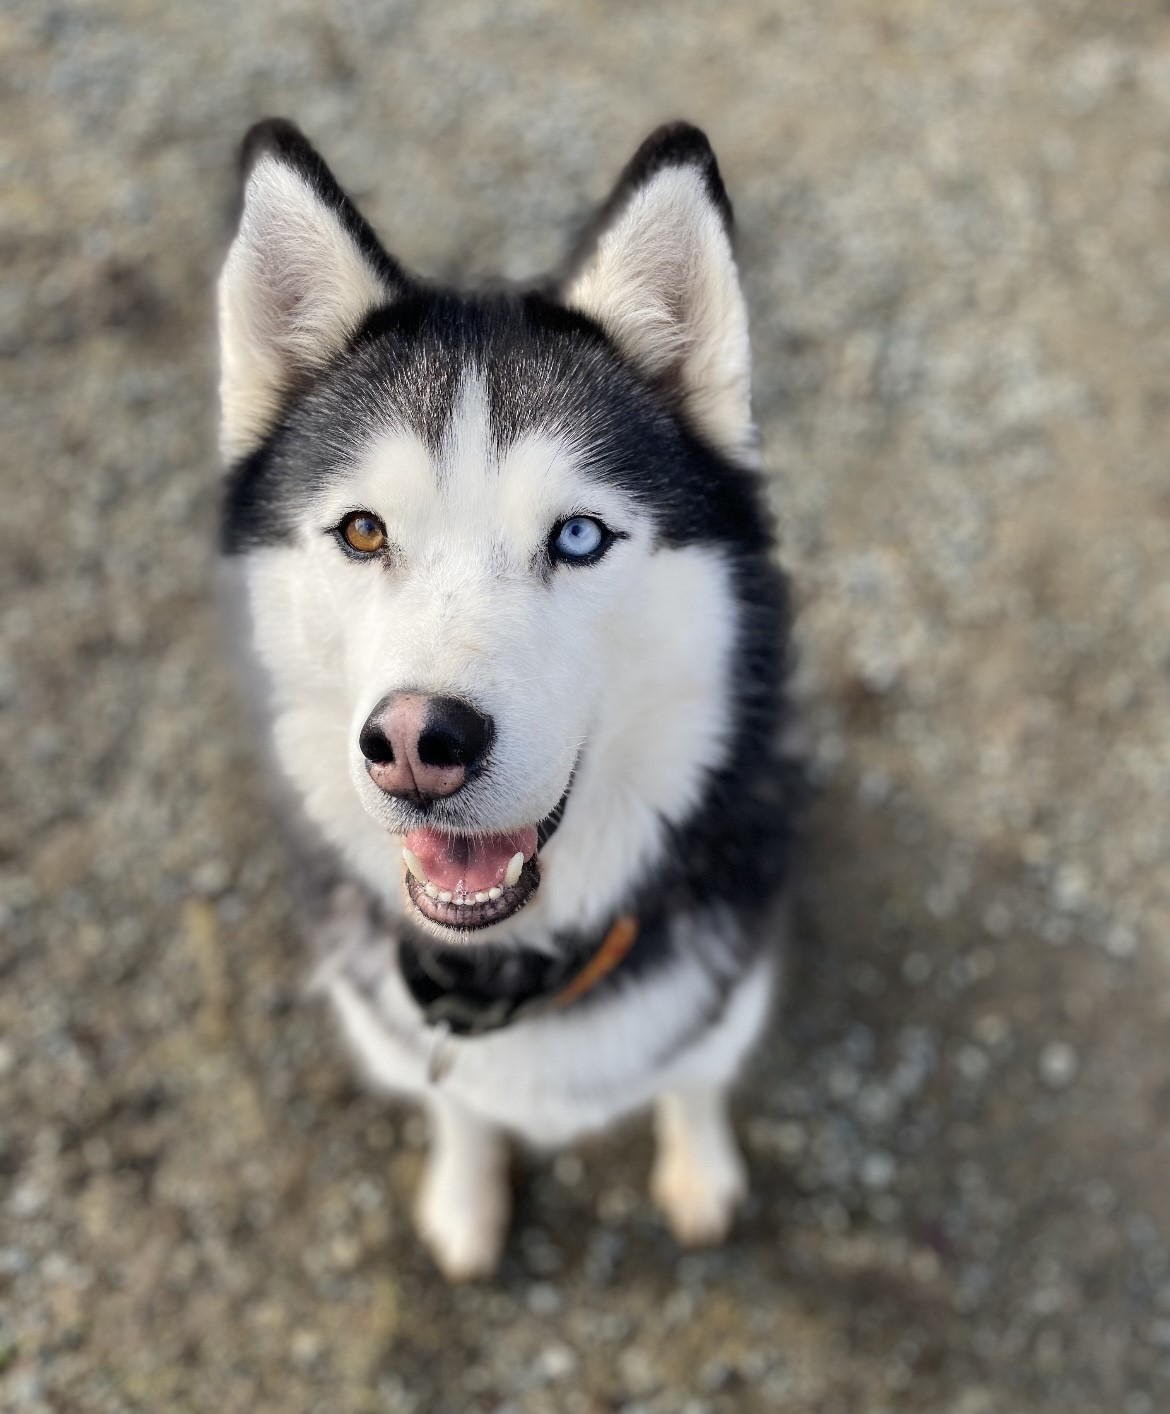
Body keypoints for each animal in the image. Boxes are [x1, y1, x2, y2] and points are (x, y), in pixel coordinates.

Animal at [217, 115, 797, 1278]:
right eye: (363, 531)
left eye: (577, 536)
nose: (415, 741)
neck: (512, 966)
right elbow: (459, 1109)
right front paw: (466, 1194)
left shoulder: (729, 984)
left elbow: (697, 1075)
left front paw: (699, 1171)